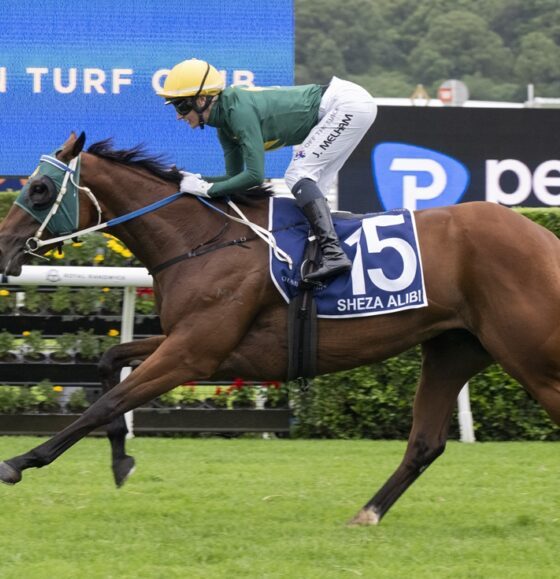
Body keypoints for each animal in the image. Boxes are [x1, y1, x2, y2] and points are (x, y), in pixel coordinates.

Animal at [0, 131, 559, 526]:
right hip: (454, 349)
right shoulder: (201, 346)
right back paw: (365, 514)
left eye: (40, 188)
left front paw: (21, 461)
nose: (4, 250)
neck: (204, 240)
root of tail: (544, 238)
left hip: (530, 356)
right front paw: (120, 457)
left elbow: (107, 402)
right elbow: (108, 362)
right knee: (424, 443)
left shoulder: (194, 352)